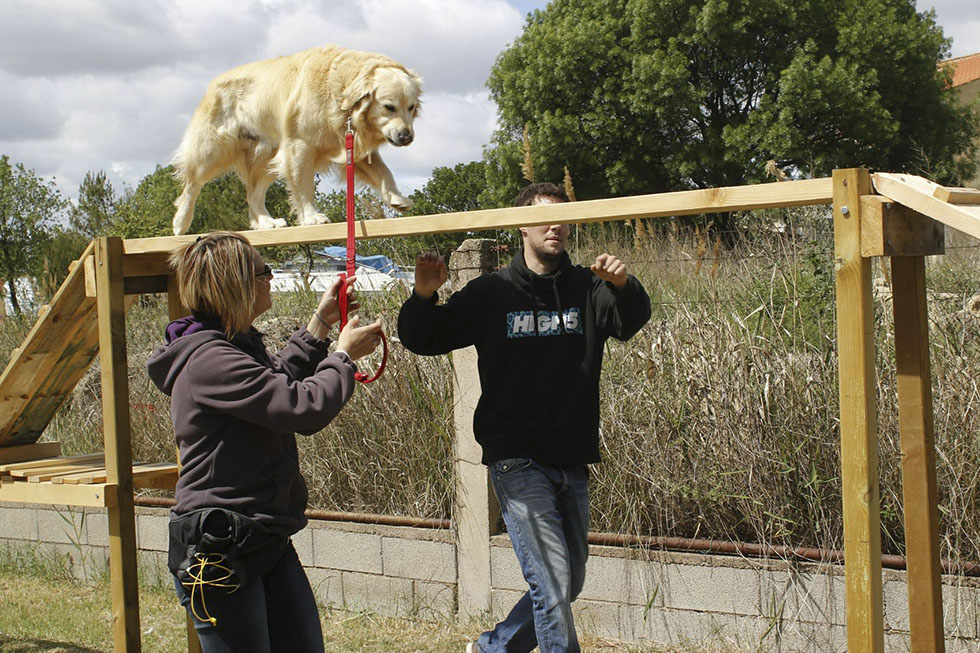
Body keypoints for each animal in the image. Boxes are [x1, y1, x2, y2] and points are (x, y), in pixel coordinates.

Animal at [174, 45, 420, 234]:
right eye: (389, 107)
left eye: (411, 107)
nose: (406, 137)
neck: (339, 90)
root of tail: (214, 83)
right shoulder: (300, 145)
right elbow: (304, 186)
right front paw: (312, 216)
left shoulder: (350, 144)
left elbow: (383, 172)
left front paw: (397, 198)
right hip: (213, 148)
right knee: (192, 184)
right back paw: (181, 222)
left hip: (267, 155)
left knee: (253, 193)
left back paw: (266, 222)